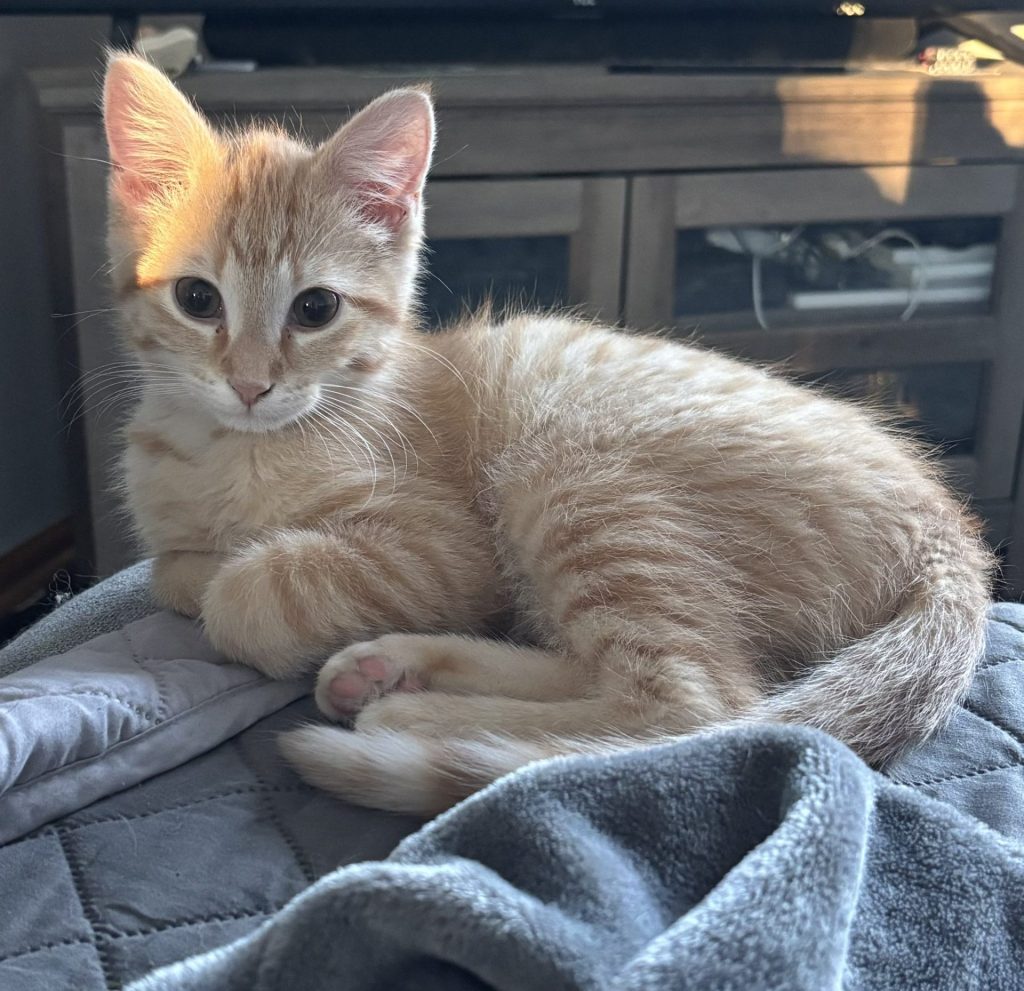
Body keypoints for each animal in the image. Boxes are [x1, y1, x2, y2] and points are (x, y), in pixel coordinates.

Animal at [103, 54, 991, 814]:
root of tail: (950, 534)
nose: (251, 383)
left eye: (316, 308)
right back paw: (395, 670)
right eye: (197, 299)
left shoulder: (448, 546)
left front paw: (240, 582)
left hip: (569, 476)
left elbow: (243, 593)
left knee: (694, 706)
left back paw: (415, 716)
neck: (231, 451)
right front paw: (211, 562)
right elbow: (173, 570)